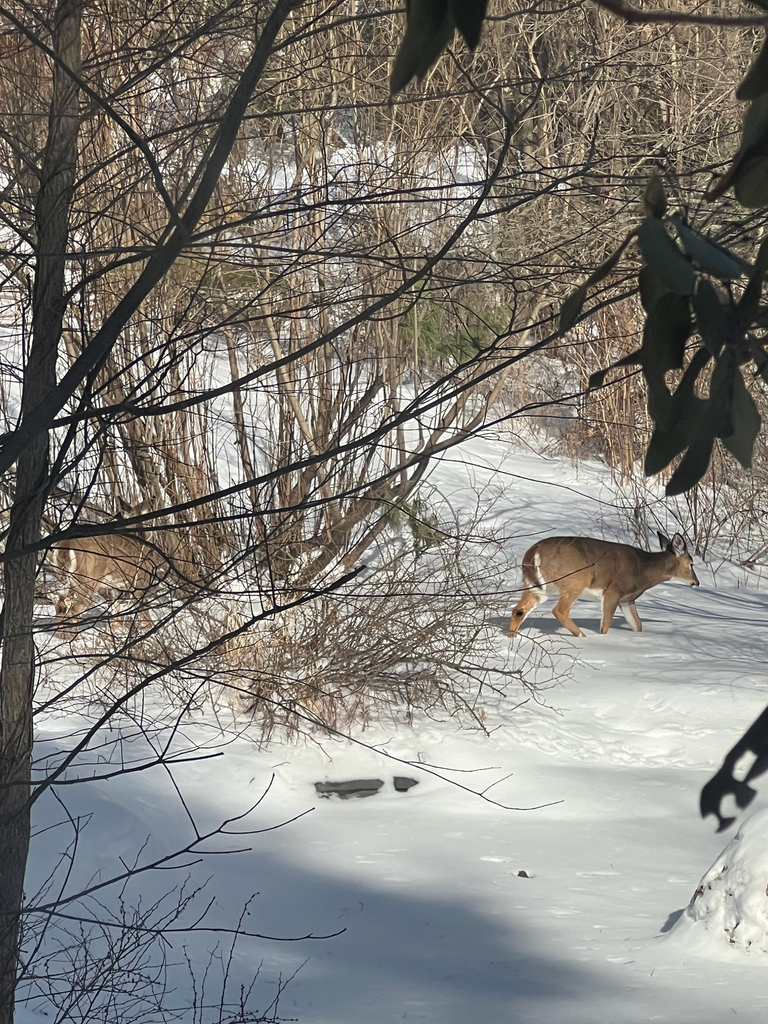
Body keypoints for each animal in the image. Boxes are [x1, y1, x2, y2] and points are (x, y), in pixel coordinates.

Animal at [508, 532, 699, 638]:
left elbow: (637, 624)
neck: (642, 569)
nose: (696, 582)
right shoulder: (613, 591)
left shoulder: (627, 600)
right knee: (559, 610)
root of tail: (533, 552)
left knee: (519, 610)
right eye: (691, 563)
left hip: (537, 587)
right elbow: (606, 624)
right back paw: (582, 635)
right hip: (575, 580)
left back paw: (512, 639)